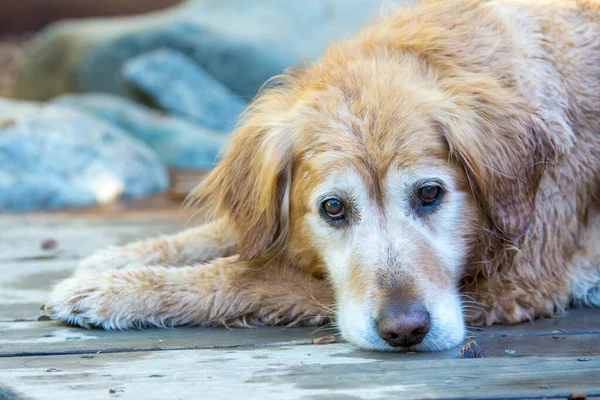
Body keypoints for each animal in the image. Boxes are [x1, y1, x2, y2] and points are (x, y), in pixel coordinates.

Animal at [43, 0, 600, 350]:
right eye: (333, 208)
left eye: (430, 194)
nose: (405, 330)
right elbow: (225, 235)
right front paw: (114, 260)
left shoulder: (515, 283)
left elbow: (253, 275)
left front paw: (116, 290)